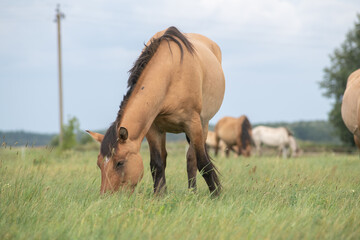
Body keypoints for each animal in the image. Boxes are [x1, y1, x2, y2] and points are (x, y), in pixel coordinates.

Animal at [87, 26, 225, 195]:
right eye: (99, 163)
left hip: (203, 125)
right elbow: (157, 164)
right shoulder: (152, 128)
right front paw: (159, 195)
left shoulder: (193, 124)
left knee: (191, 159)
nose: (106, 196)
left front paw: (216, 194)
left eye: (120, 163)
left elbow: (203, 163)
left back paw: (192, 192)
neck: (171, 73)